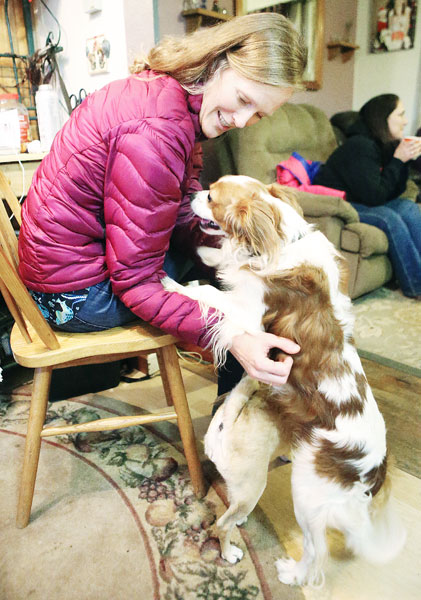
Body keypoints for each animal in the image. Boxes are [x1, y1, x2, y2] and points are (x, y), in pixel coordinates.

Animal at [161, 173, 404, 584]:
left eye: (211, 197)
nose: (190, 193)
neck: (279, 244)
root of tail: (373, 472)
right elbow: (222, 266)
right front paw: (209, 259)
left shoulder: (250, 316)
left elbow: (211, 291)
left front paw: (176, 285)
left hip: (305, 495)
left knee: (314, 548)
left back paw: (290, 572)